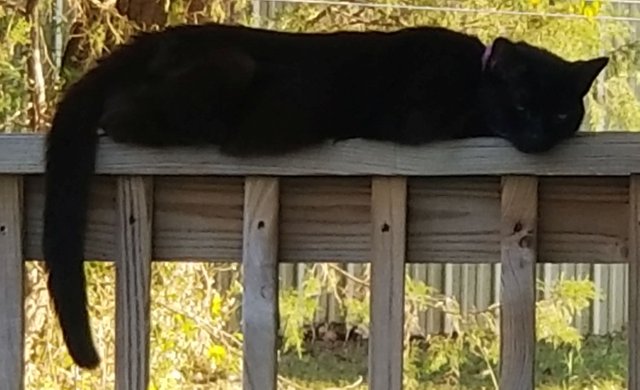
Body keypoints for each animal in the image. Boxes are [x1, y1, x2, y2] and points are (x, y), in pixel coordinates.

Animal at [43, 22, 604, 368]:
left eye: (561, 113)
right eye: (522, 104)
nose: (538, 136)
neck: (472, 73)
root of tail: (155, 39)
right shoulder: (425, 118)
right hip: (227, 70)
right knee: (120, 117)